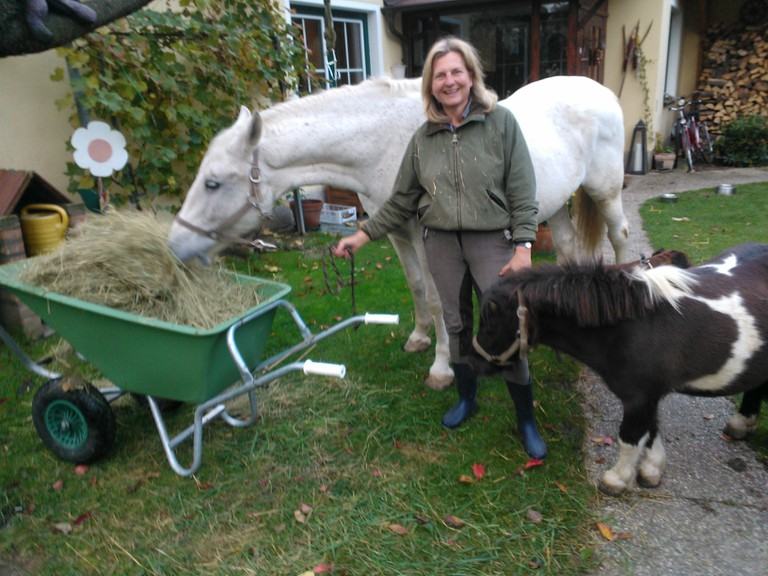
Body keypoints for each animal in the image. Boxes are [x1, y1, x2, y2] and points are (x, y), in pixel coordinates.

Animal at [167, 75, 631, 390]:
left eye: (213, 183)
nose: (175, 245)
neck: (384, 143)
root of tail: (600, 91)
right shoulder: (396, 233)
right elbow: (416, 286)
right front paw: (418, 338)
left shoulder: (428, 237)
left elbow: (440, 298)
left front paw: (442, 368)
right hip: (552, 207)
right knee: (568, 250)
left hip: (605, 191)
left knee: (621, 237)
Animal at [471, 243, 768, 495]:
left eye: (490, 322)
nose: (470, 361)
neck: (635, 324)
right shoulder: (648, 396)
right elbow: (651, 431)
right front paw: (652, 470)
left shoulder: (639, 398)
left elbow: (630, 436)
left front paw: (617, 479)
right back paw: (741, 425)